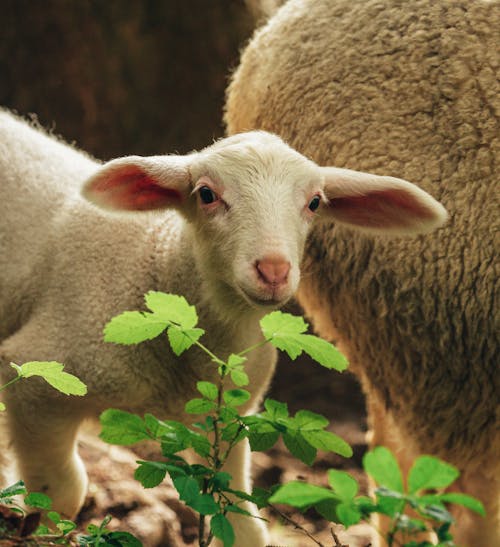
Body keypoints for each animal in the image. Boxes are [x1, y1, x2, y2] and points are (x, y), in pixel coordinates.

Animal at [0, 109, 448, 544]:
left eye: (315, 202)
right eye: (206, 195)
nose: (273, 270)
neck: (153, 261)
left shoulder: (226, 419)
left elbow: (240, 522)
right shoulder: (38, 379)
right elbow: (58, 496)